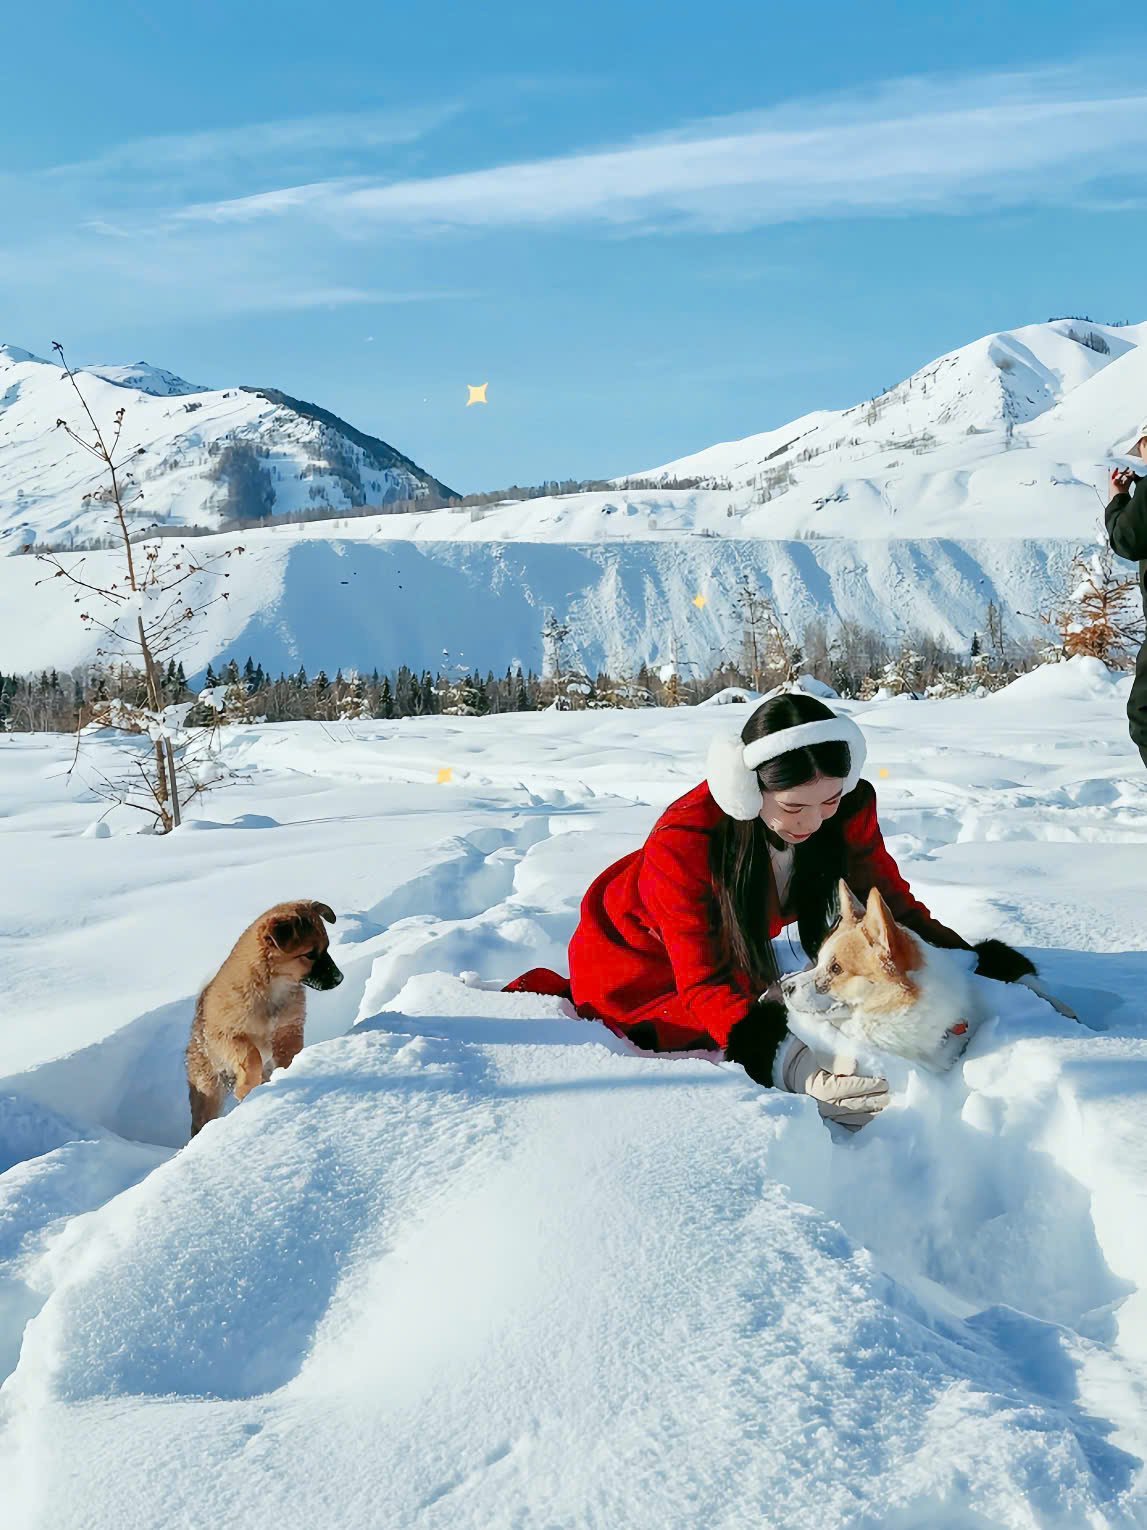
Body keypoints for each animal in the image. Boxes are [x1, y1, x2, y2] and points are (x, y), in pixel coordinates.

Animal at [185, 893, 341, 1138]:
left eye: (327, 948)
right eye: (309, 954)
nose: (339, 978)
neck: (272, 988)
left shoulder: (288, 1028)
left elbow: (287, 1054)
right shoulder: (226, 1036)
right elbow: (250, 1055)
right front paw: (244, 1088)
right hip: (208, 1087)